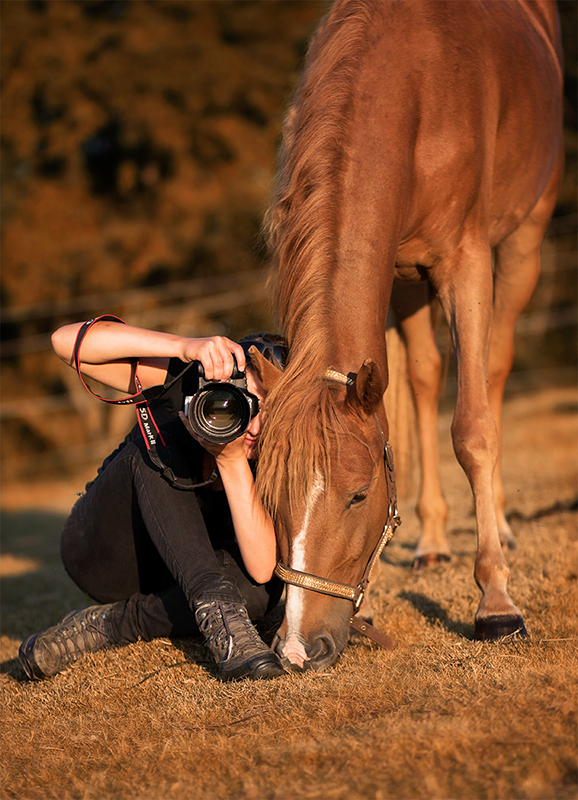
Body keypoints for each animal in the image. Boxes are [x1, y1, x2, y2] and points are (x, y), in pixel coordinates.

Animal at [249, 0, 564, 676]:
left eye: (358, 495)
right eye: (271, 498)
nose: (295, 651)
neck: (411, 79)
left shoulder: (465, 261)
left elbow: (472, 429)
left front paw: (497, 604)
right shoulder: (394, 271)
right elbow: (404, 398)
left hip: (524, 239)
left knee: (495, 367)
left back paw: (499, 527)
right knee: (422, 376)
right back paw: (433, 540)